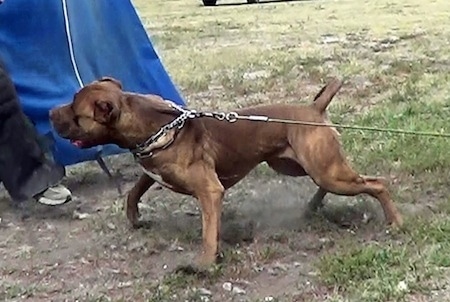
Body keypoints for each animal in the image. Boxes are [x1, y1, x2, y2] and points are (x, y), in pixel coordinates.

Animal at [50, 76, 404, 268]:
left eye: (76, 113)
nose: (51, 112)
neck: (152, 123)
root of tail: (314, 108)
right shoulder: (150, 169)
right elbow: (135, 191)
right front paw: (134, 217)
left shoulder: (210, 191)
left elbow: (209, 232)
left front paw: (205, 263)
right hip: (301, 167)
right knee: (336, 183)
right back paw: (313, 206)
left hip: (326, 171)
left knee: (376, 184)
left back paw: (395, 222)